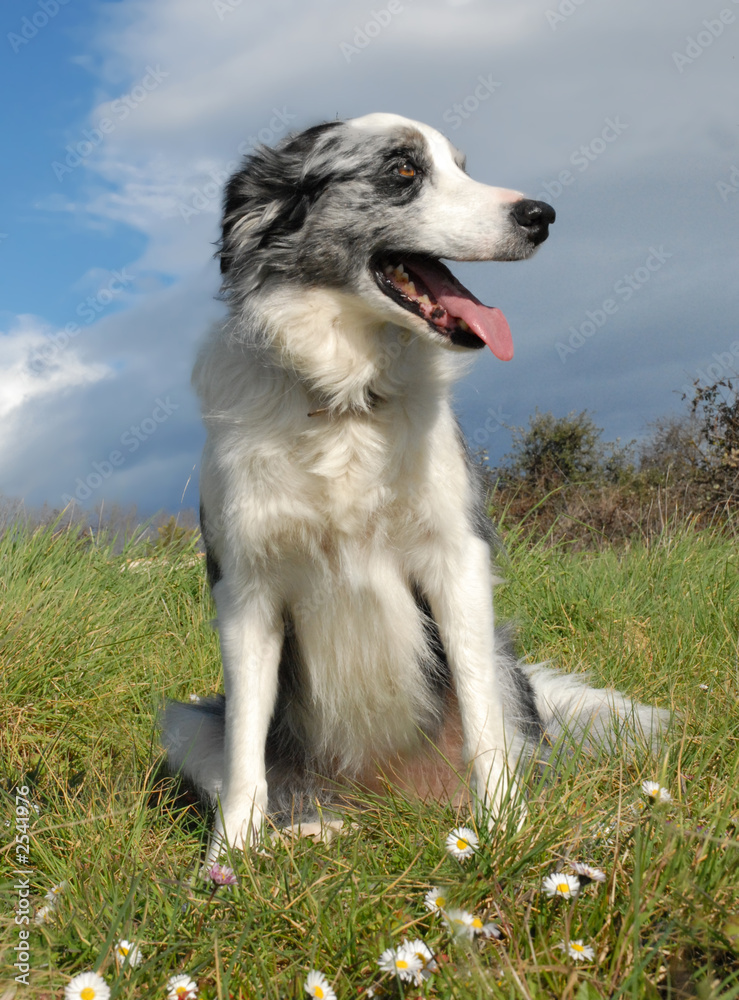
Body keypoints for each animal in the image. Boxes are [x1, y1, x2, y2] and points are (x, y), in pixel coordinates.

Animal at [163, 111, 672, 860]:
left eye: (462, 166)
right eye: (403, 170)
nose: (541, 215)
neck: (345, 399)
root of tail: (392, 803)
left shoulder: (455, 560)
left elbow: (485, 732)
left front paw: (505, 833)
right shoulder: (245, 588)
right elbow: (245, 749)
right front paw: (225, 863)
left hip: (507, 667)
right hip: (182, 722)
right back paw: (312, 832)